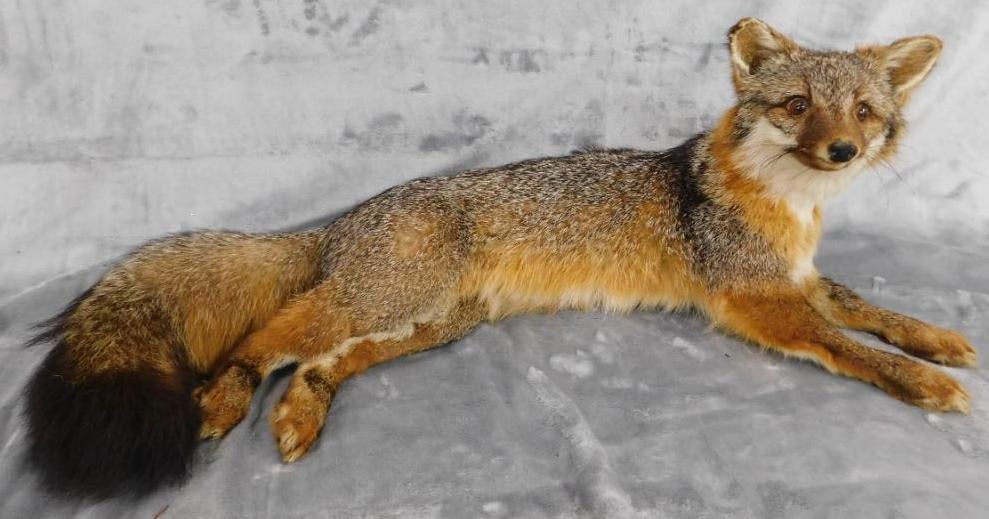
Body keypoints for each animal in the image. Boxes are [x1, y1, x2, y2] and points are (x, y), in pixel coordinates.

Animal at [23, 18, 976, 499]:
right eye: (795, 106)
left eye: (861, 112)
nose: (843, 152)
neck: (787, 207)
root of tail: (344, 220)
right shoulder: (754, 297)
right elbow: (845, 342)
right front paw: (922, 381)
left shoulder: (797, 280)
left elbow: (868, 308)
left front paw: (934, 338)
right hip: (388, 300)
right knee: (264, 341)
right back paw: (226, 400)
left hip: (432, 321)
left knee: (324, 360)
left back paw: (300, 414)